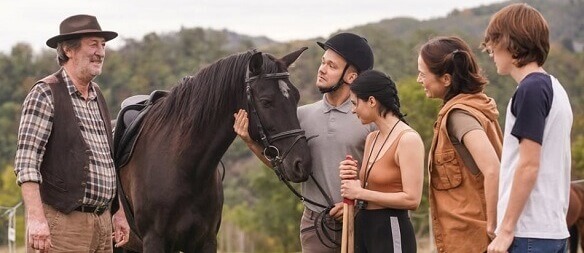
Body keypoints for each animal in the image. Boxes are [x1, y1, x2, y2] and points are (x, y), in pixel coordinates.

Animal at [116, 48, 312, 253]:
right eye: (266, 101)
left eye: (296, 97)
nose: (302, 163)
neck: (182, 167)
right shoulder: (154, 240)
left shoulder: (206, 241)